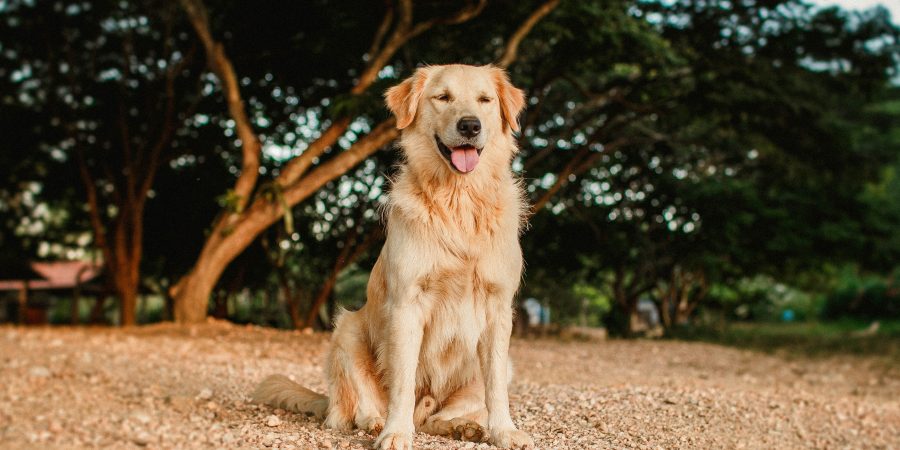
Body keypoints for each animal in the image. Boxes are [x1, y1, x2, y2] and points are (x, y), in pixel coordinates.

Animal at [251, 64, 536, 450]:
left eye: (484, 100)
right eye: (443, 97)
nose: (470, 126)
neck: (458, 199)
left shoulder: (498, 308)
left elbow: (494, 390)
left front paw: (504, 431)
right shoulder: (406, 303)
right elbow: (402, 382)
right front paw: (396, 432)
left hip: (505, 366)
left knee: (434, 418)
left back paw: (463, 427)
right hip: (347, 330)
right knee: (352, 411)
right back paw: (375, 423)